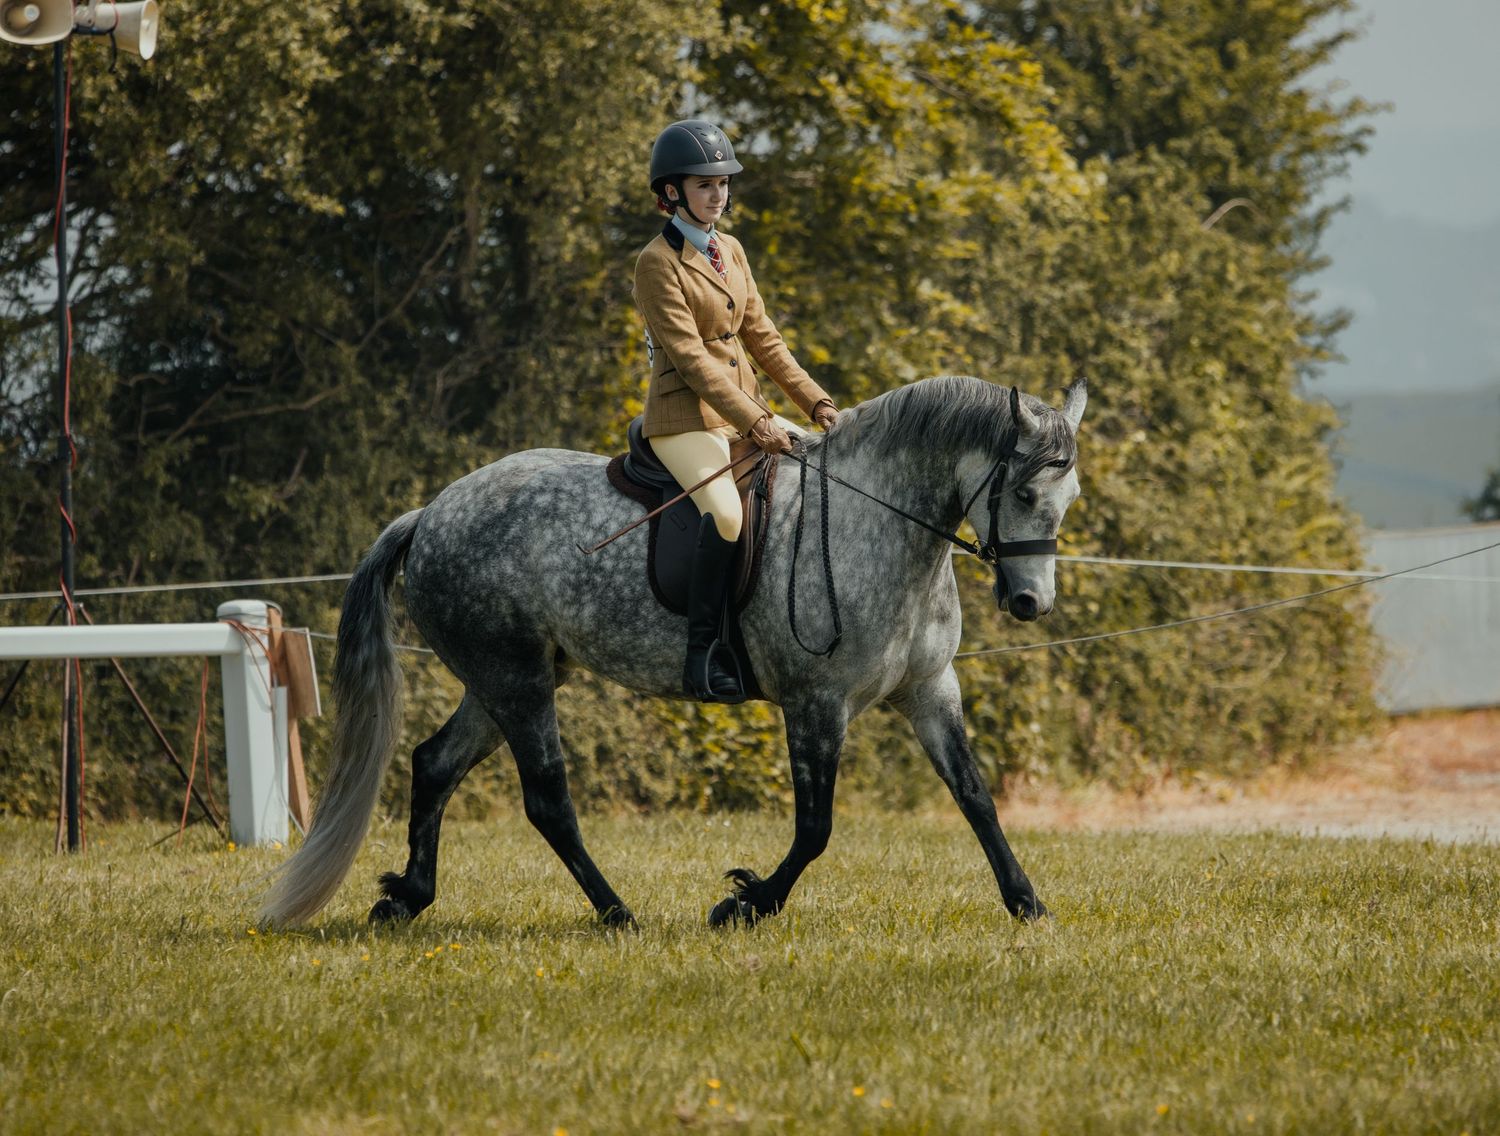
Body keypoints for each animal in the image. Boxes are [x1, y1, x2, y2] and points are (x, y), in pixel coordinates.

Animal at [259, 374, 1087, 929]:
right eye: (1021, 494)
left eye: (1068, 498)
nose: (1030, 604)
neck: (879, 522)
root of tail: (431, 512)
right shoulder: (816, 702)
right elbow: (815, 827)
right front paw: (747, 902)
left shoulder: (930, 689)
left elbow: (974, 796)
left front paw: (1027, 902)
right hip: (516, 679)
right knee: (548, 799)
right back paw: (617, 913)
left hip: (502, 680)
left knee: (434, 766)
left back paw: (408, 898)